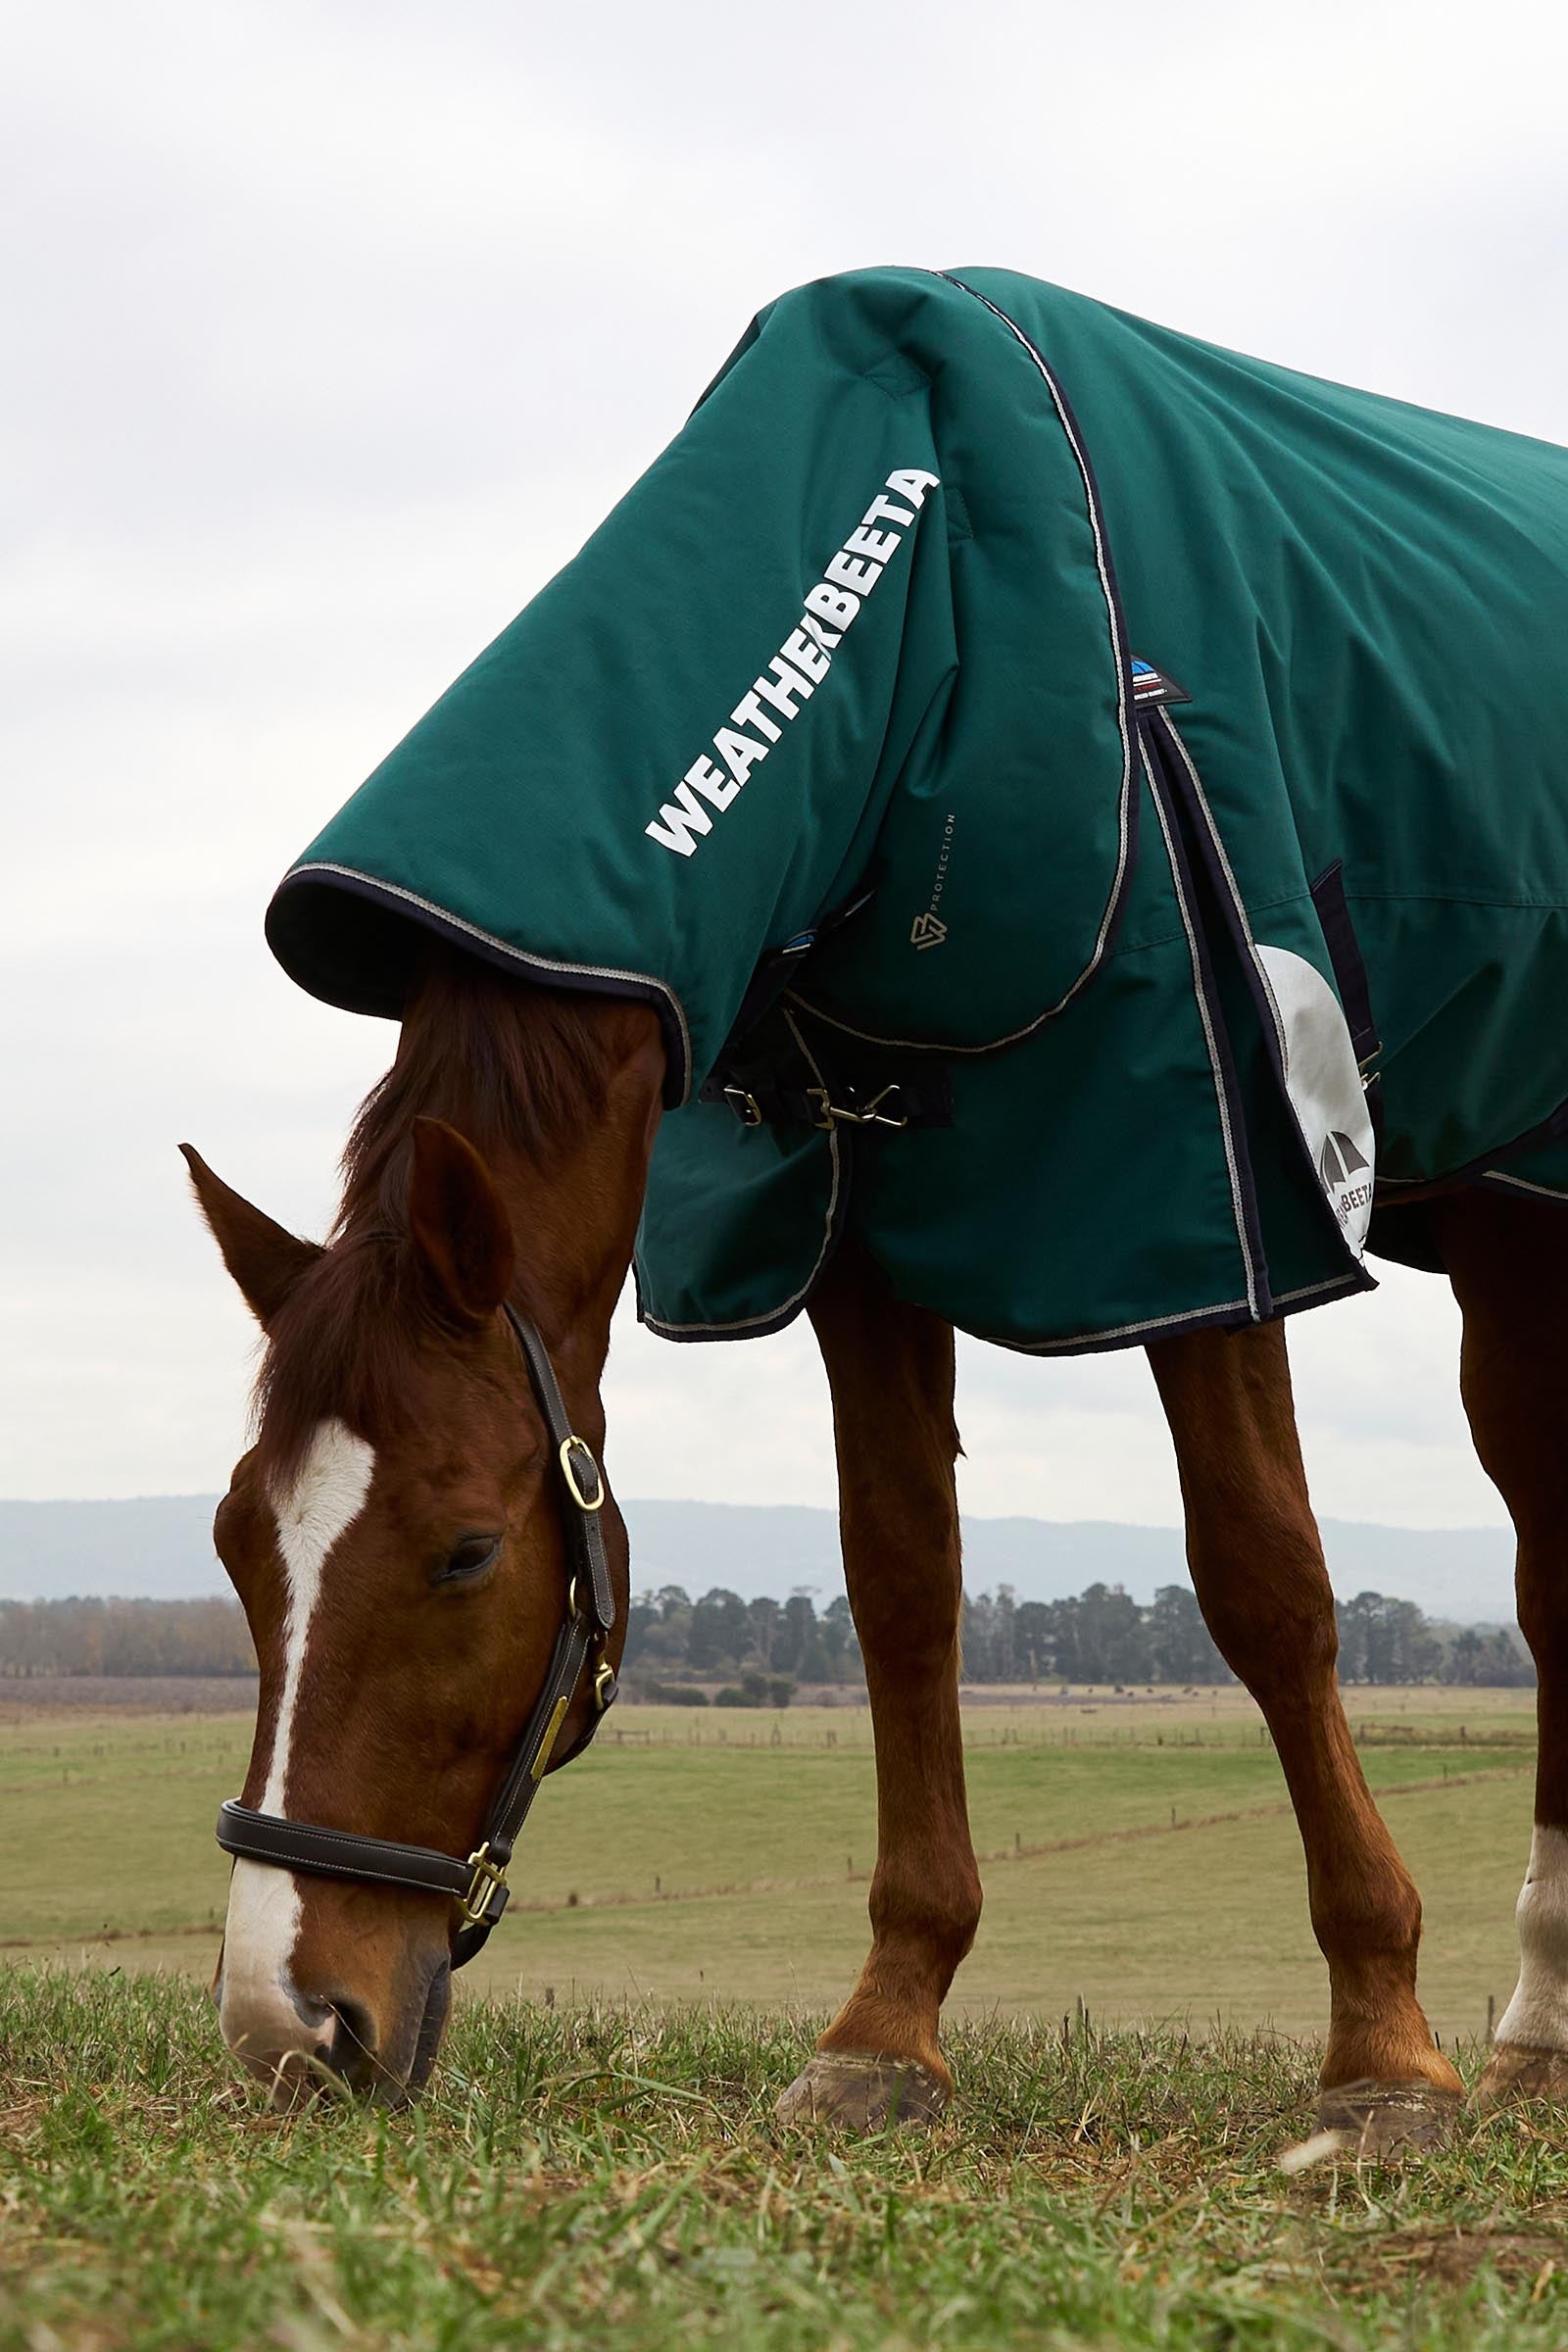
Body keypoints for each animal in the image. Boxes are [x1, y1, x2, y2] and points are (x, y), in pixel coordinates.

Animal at [186, 268, 1568, 2138]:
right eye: (237, 1541)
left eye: (465, 1550)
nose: (288, 2024)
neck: (932, 607)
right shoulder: (846, 1233)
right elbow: (903, 1587)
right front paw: (885, 2028)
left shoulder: (1197, 1200)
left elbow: (1265, 1583)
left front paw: (1380, 2051)